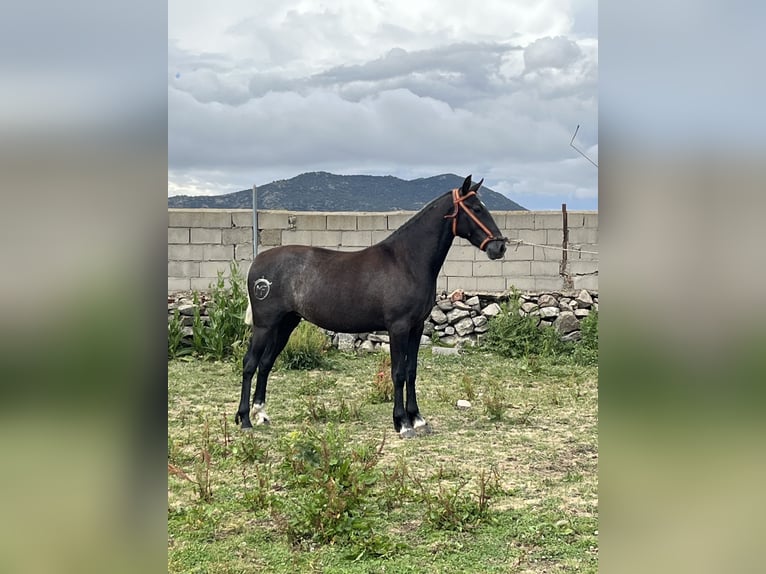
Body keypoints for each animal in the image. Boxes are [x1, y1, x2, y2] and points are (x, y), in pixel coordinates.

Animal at [237, 173, 508, 438]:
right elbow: (398, 373)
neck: (406, 261)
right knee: (250, 363)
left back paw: (261, 415)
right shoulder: (398, 327)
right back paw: (244, 420)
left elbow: (412, 371)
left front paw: (418, 419)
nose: (500, 246)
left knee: (266, 363)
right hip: (264, 325)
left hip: (286, 323)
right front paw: (403, 424)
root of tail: (257, 263)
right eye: (476, 208)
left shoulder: (417, 327)